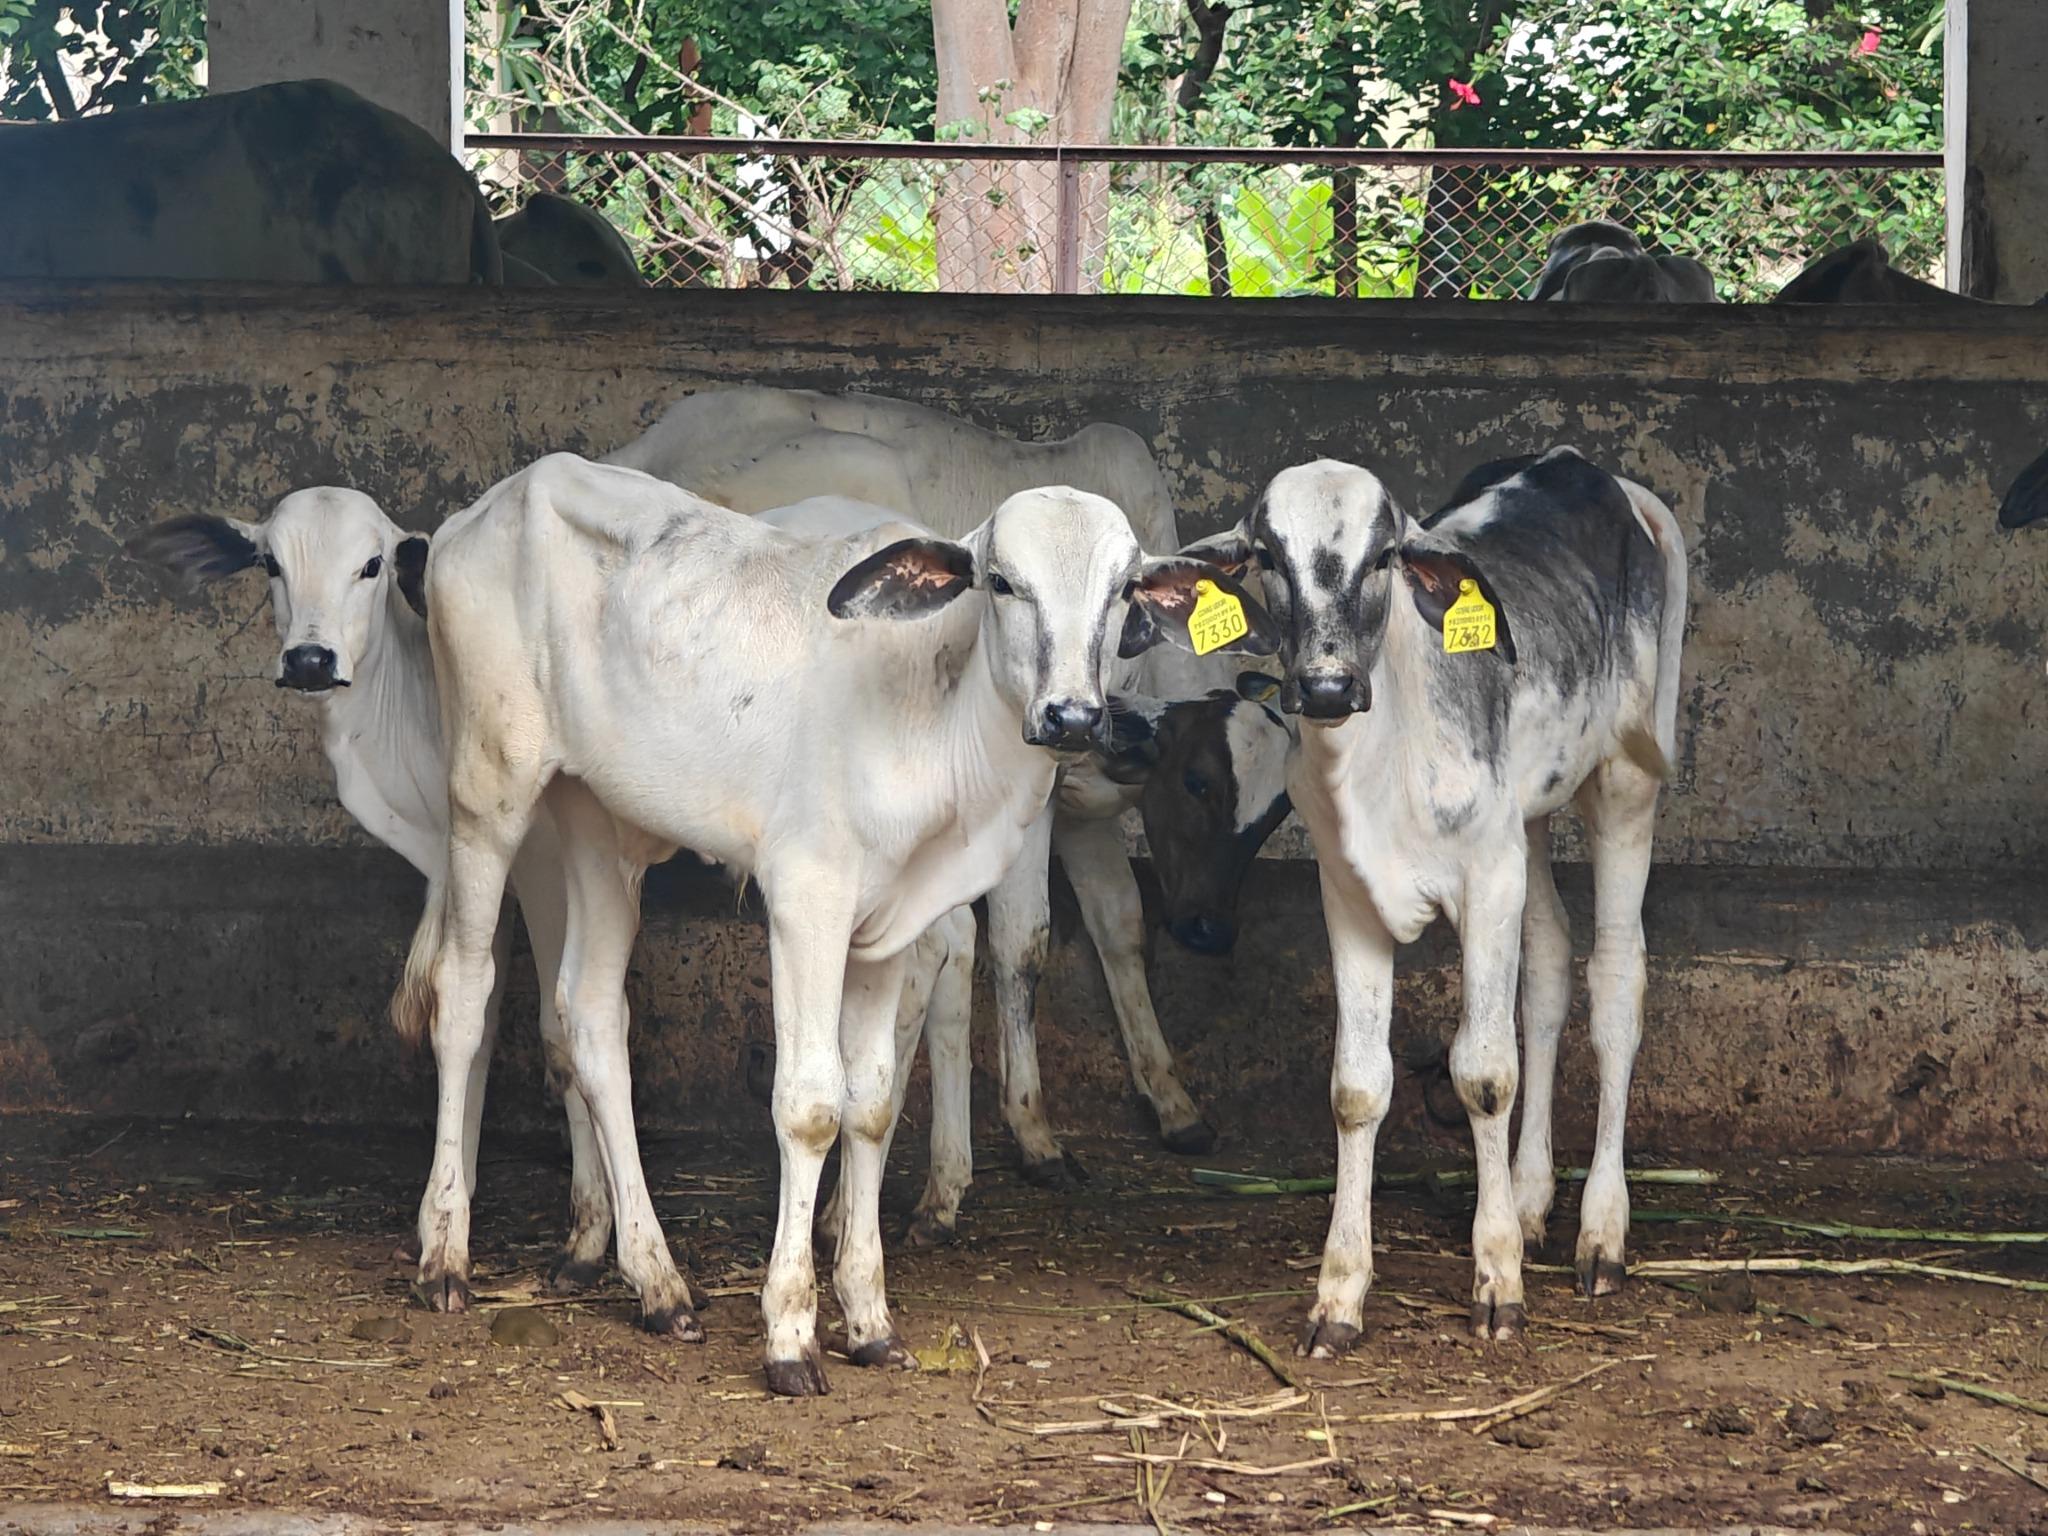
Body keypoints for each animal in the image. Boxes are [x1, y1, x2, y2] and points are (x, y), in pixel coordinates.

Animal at [123, 488, 972, 1303]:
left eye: (371, 565)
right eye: (269, 562)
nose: (309, 657)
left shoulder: (527, 854)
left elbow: (526, 1018)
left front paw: (481, 1227)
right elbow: (524, 1017)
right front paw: (548, 1224)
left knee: (936, 966)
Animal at [388, 454, 1274, 1392]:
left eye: (1121, 591)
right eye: (1001, 582)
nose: (1072, 715)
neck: (933, 709)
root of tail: (494, 500)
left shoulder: (890, 926)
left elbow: (873, 1101)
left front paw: (869, 1318)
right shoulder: (805, 900)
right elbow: (810, 1104)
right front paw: (789, 1332)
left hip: (597, 822)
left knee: (589, 1016)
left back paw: (656, 1281)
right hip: (488, 793)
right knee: (465, 995)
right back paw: (445, 1252)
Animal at [607, 387, 1297, 1190]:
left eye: (1276, 814)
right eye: (1196, 782)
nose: (1210, 931)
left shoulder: (1085, 809)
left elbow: (1120, 924)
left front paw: (1172, 1100)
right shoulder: (1032, 799)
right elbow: (1024, 941)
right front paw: (1033, 1130)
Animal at [1183, 447, 1686, 1352]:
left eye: (1384, 555)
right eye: (1267, 555)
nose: (1327, 687)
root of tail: (1590, 470)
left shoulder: (1486, 882)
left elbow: (1483, 1073)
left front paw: (1497, 1282)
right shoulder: (1349, 894)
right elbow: (1357, 1087)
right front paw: (1339, 1294)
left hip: (1624, 783)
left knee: (1615, 982)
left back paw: (1602, 1231)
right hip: (1525, 823)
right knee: (1549, 968)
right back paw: (1529, 1199)